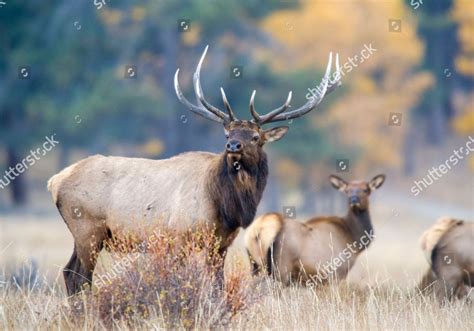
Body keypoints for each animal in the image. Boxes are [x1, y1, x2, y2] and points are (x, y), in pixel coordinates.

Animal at [48, 44, 342, 296]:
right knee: (80, 276)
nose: (232, 145)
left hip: (85, 234)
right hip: (87, 228)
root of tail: (55, 181)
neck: (225, 205)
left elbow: (217, 285)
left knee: (69, 272)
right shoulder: (178, 237)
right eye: (227, 133)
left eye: (255, 137)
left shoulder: (221, 243)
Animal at [244, 175, 386, 286]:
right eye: (347, 191)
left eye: (366, 189)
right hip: (280, 268)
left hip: (255, 266)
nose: (354, 200)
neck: (352, 237)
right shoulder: (336, 273)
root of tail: (259, 228)